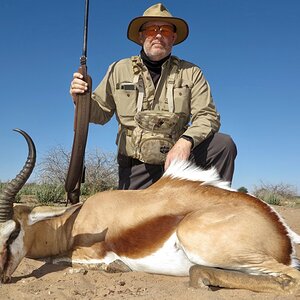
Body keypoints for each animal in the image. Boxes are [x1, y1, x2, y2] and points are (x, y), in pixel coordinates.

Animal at [0, 129, 298, 292]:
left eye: (13, 233)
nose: (2, 277)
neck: (75, 221)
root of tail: (280, 231)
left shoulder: (88, 254)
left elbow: (61, 261)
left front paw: (116, 267)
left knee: (291, 279)